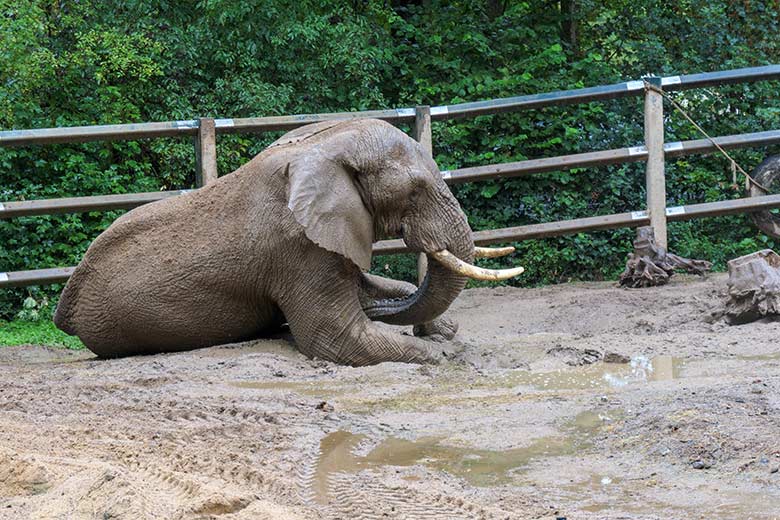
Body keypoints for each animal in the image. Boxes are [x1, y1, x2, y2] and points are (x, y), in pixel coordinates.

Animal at [51, 119, 520, 366]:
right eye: (416, 190)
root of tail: (65, 312)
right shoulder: (297, 244)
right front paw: (437, 355)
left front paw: (444, 332)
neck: (325, 145)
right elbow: (334, 337)